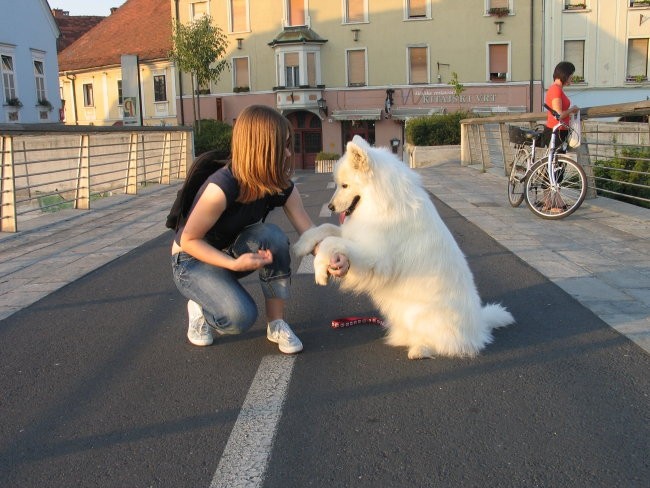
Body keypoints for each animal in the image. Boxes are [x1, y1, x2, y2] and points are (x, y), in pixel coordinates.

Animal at [292, 135, 512, 360]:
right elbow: (325, 229)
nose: (330, 207)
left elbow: (330, 241)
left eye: (344, 185)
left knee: (450, 345)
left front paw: (319, 270)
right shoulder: (356, 233)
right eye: (338, 185)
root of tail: (478, 327)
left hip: (423, 314)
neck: (382, 201)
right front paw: (302, 245)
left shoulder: (375, 256)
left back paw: (420, 349)